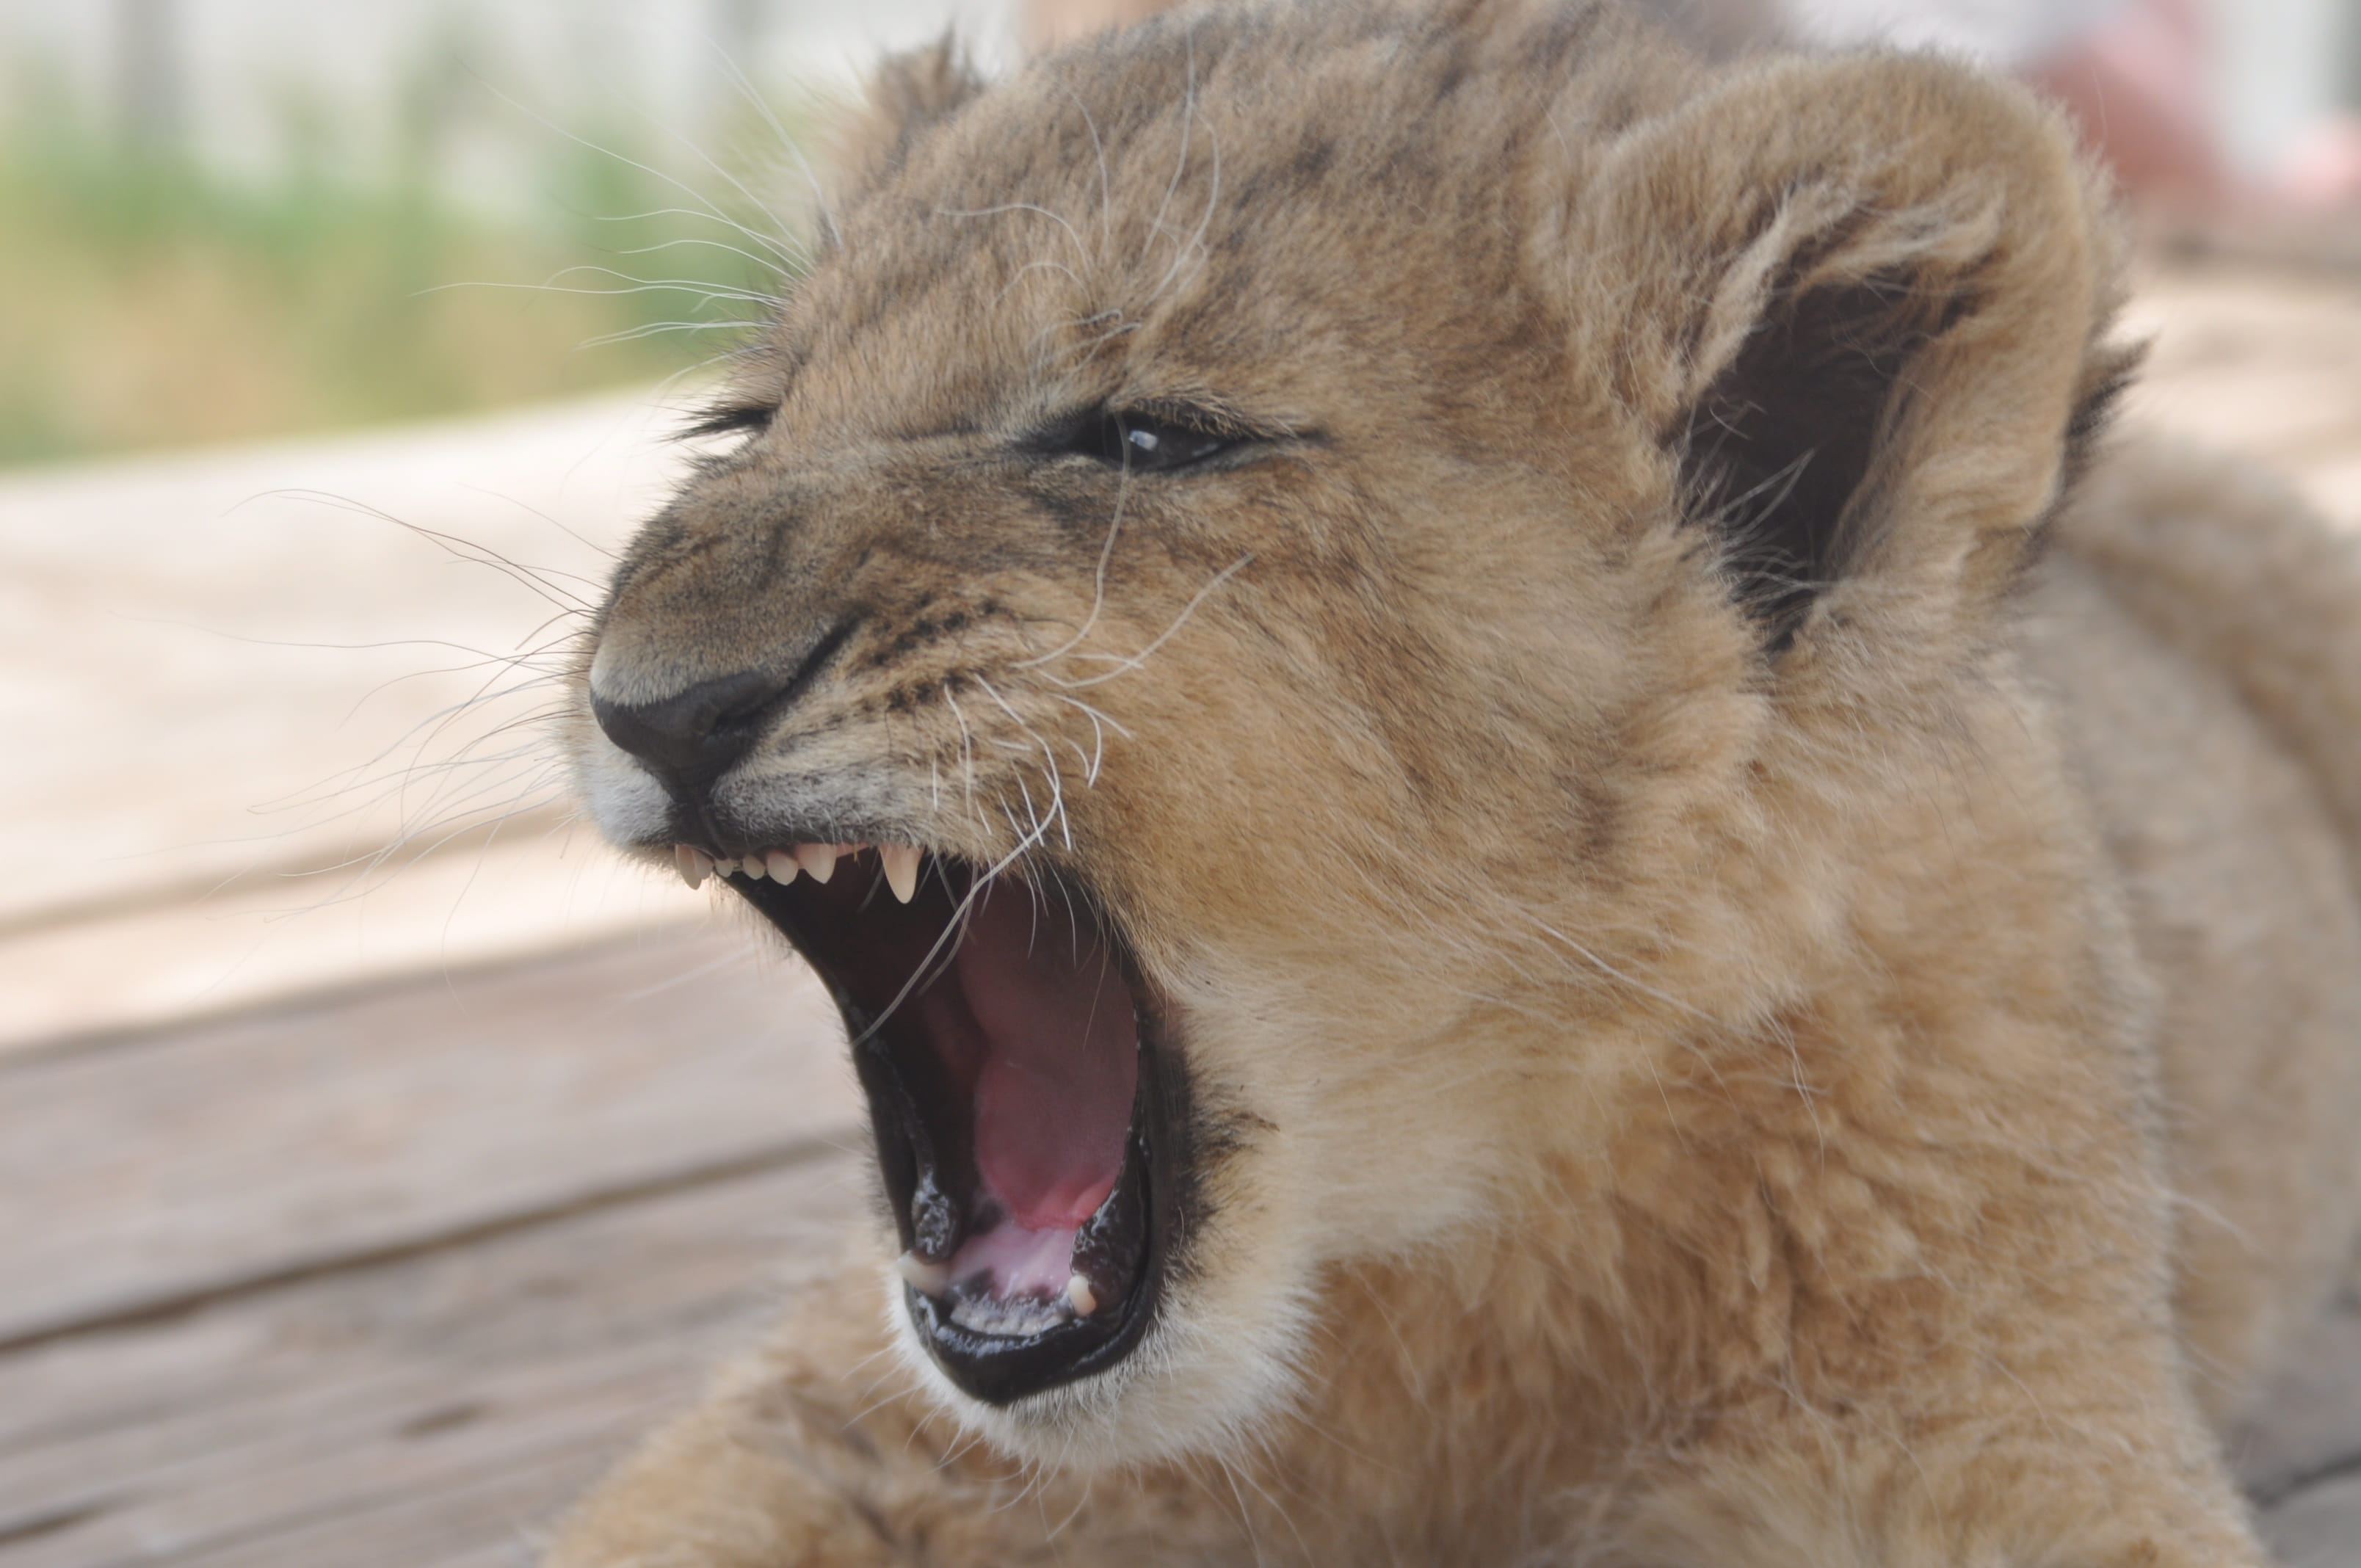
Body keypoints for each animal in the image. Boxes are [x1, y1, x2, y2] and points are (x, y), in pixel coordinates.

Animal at [549, 1, 2361, 1562]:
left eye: (1149, 439)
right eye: (745, 426)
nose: (660, 709)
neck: (1424, 1271)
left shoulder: (1994, 1433)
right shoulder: (843, 1430)